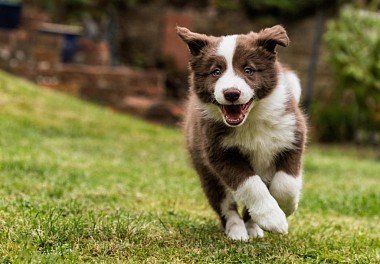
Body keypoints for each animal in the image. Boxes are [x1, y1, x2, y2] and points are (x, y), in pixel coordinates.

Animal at [177, 25, 306, 240]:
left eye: (248, 70)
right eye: (216, 71)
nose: (231, 93)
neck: (251, 119)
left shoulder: (292, 136)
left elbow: (286, 183)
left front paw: (284, 208)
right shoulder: (219, 152)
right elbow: (251, 186)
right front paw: (273, 217)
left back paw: (253, 227)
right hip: (206, 172)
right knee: (225, 205)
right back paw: (237, 230)